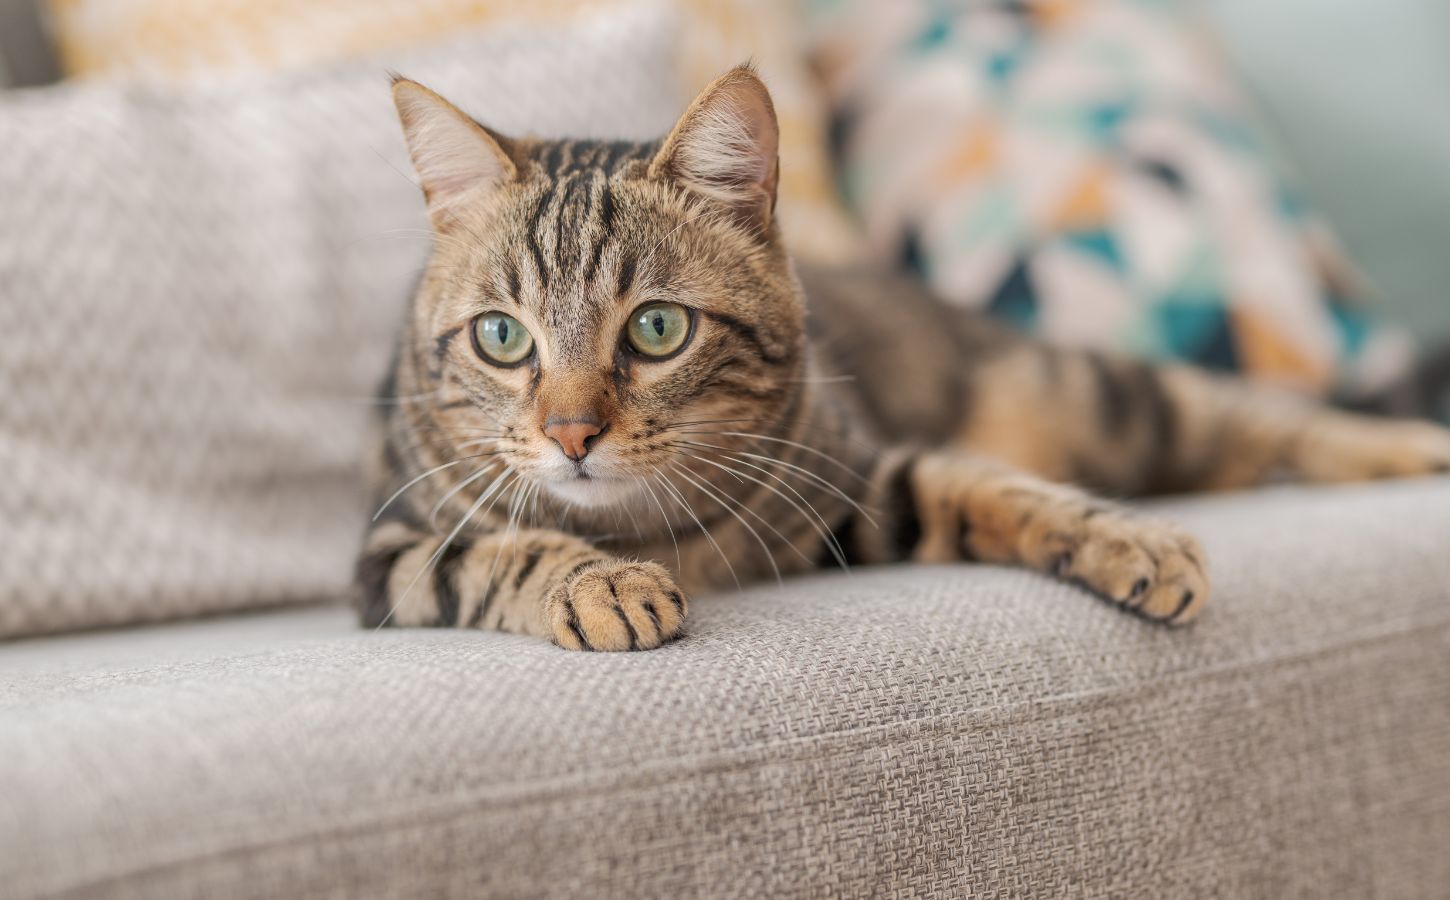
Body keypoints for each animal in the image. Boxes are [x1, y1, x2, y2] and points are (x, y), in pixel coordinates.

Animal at [356, 66, 1450, 649]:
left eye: (657, 329)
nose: (571, 433)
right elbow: (502, 549)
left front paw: (1126, 540)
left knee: (1258, 416)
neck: (644, 525)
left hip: (1096, 391)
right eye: (502, 337)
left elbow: (986, 485)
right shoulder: (391, 557)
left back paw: (1404, 448)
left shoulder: (859, 480)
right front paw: (601, 585)